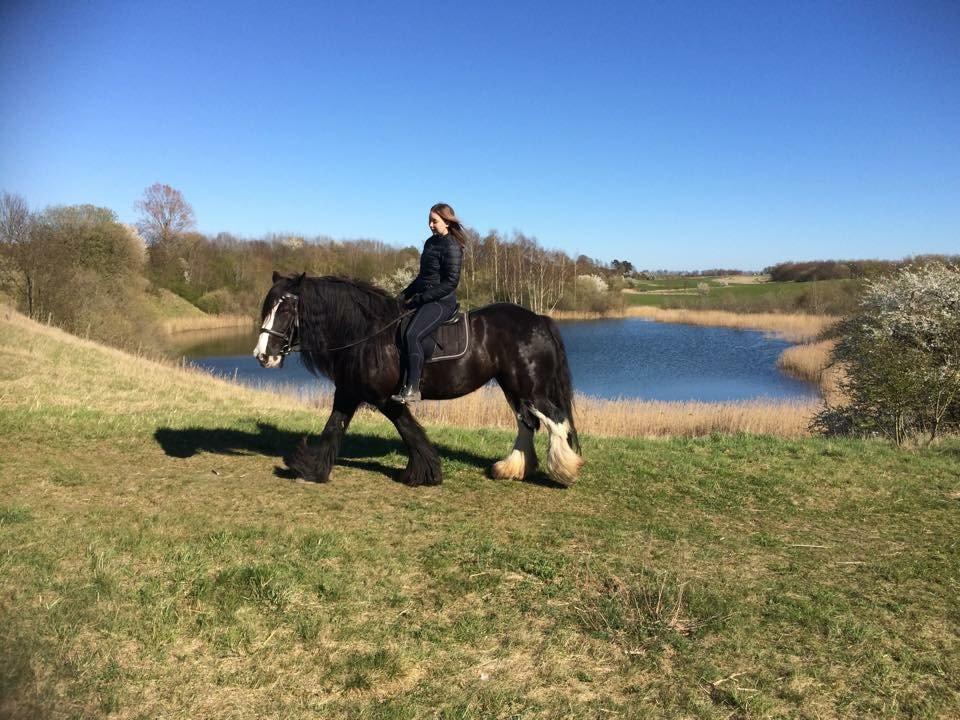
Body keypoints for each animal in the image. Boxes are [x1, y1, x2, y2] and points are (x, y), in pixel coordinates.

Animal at [255, 272, 580, 486]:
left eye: (286, 309)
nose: (262, 355)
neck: (366, 334)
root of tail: (538, 319)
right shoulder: (348, 392)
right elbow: (333, 428)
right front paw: (311, 469)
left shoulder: (385, 398)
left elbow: (409, 430)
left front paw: (425, 473)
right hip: (513, 386)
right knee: (528, 423)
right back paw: (512, 468)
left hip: (530, 388)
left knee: (554, 420)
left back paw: (565, 469)